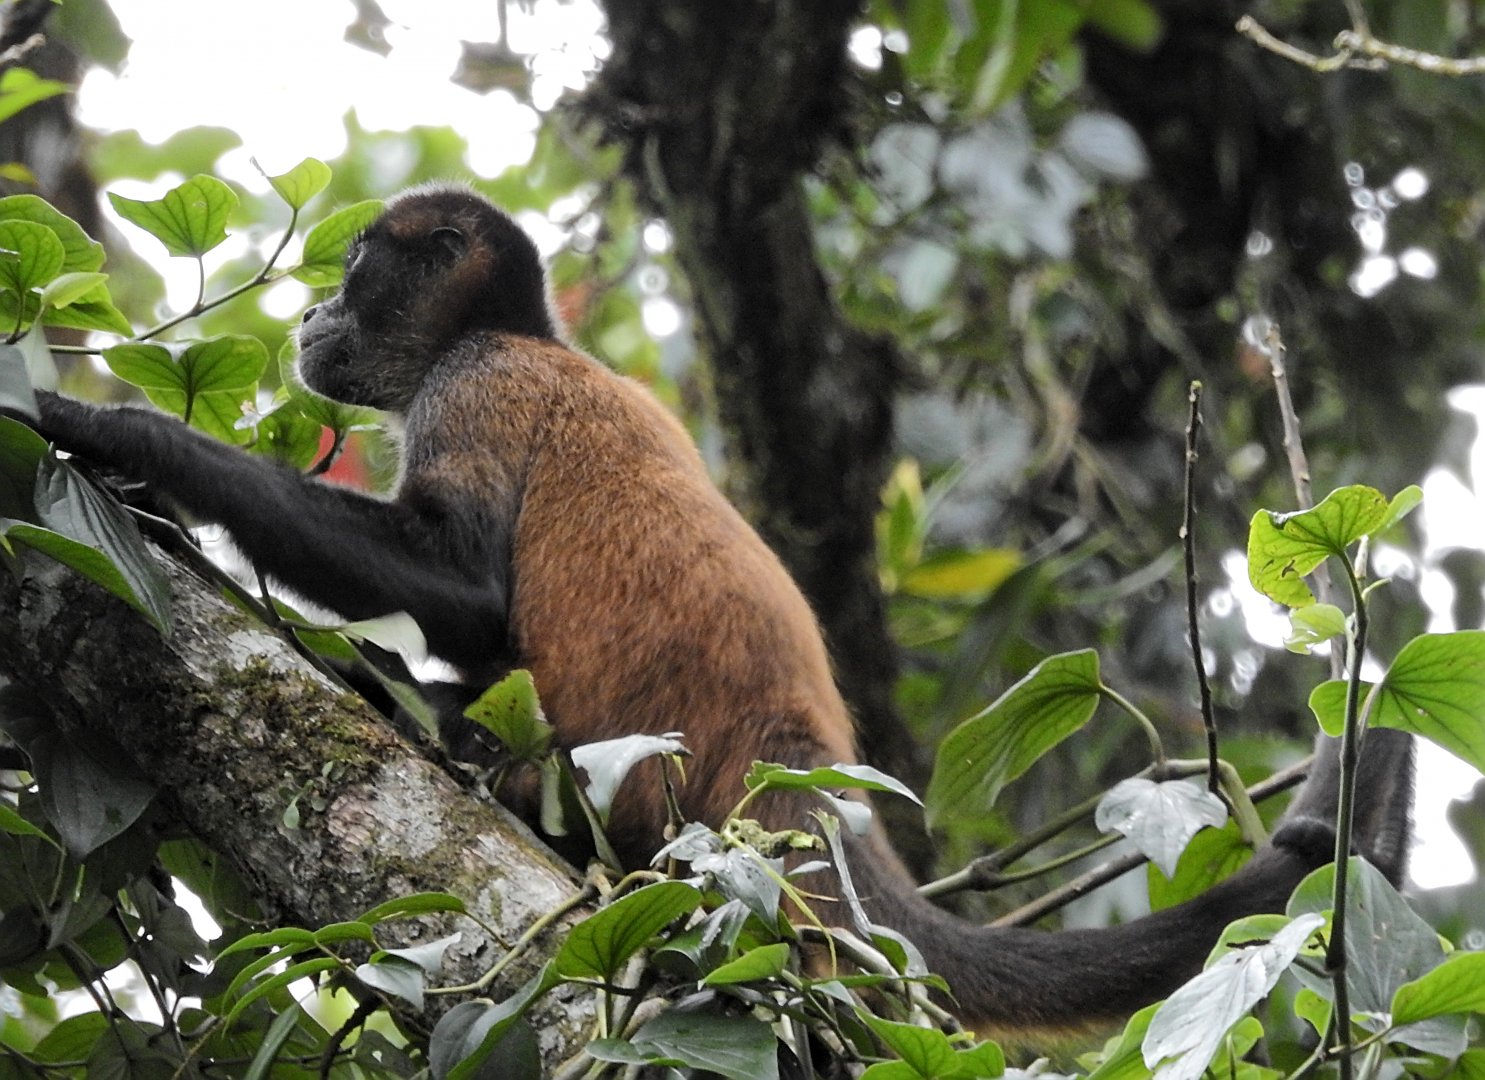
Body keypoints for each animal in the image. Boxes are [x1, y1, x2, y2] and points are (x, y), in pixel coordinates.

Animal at [13, 186, 1414, 1037]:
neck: (536, 337)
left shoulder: (479, 379)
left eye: (356, 268)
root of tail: (808, 778)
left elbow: (463, 593)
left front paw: (124, 439)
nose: (310, 311)